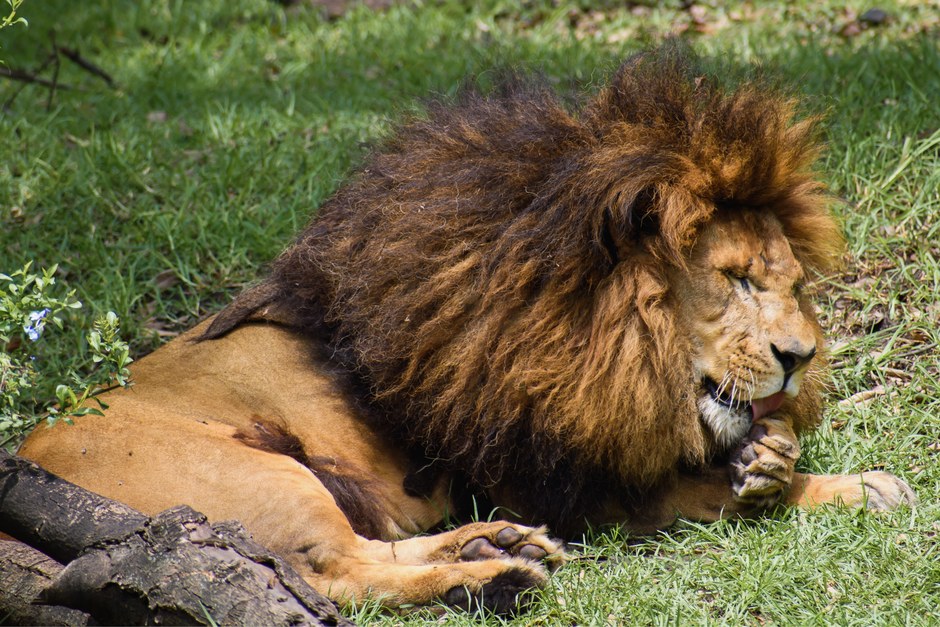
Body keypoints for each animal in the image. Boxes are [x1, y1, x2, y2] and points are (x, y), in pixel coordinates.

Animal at [19, 48, 915, 614]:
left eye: (792, 285)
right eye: (734, 279)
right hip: (254, 474)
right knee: (335, 572)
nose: (799, 357)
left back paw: (495, 546)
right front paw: (855, 485)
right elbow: (707, 495)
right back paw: (490, 582)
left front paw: (779, 461)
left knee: (362, 552)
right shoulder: (548, 471)